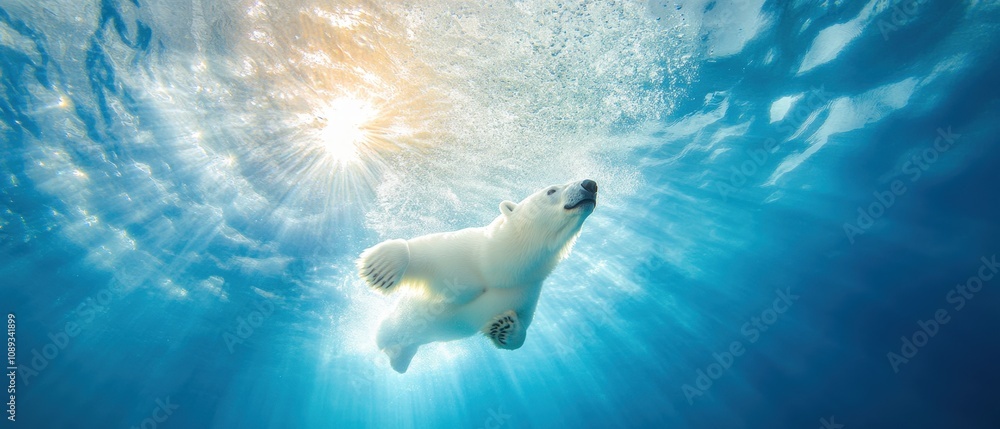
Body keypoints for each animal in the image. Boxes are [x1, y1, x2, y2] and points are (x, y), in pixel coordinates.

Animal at [357, 179, 599, 373]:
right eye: (551, 190)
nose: (590, 184)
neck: (500, 268)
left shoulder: (525, 289)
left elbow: (521, 329)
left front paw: (504, 326)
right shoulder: (470, 252)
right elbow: (430, 249)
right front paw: (382, 265)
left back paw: (398, 361)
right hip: (389, 322)